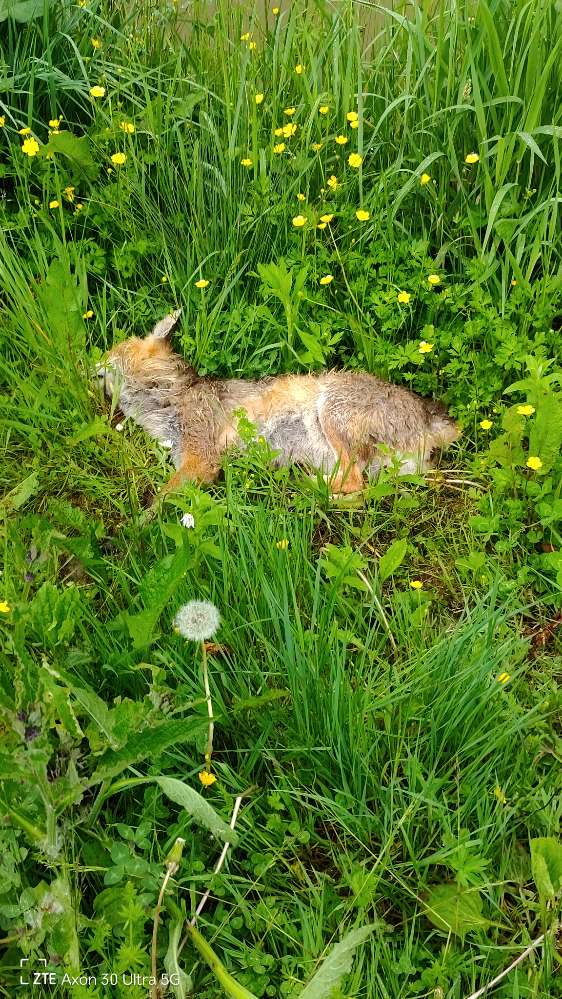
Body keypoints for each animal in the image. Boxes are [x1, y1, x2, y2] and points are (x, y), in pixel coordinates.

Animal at [96, 309, 459, 496]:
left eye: (114, 351)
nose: (90, 365)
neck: (171, 396)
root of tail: (431, 418)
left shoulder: (201, 460)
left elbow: (159, 502)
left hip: (333, 414)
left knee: (355, 486)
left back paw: (301, 486)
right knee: (358, 489)